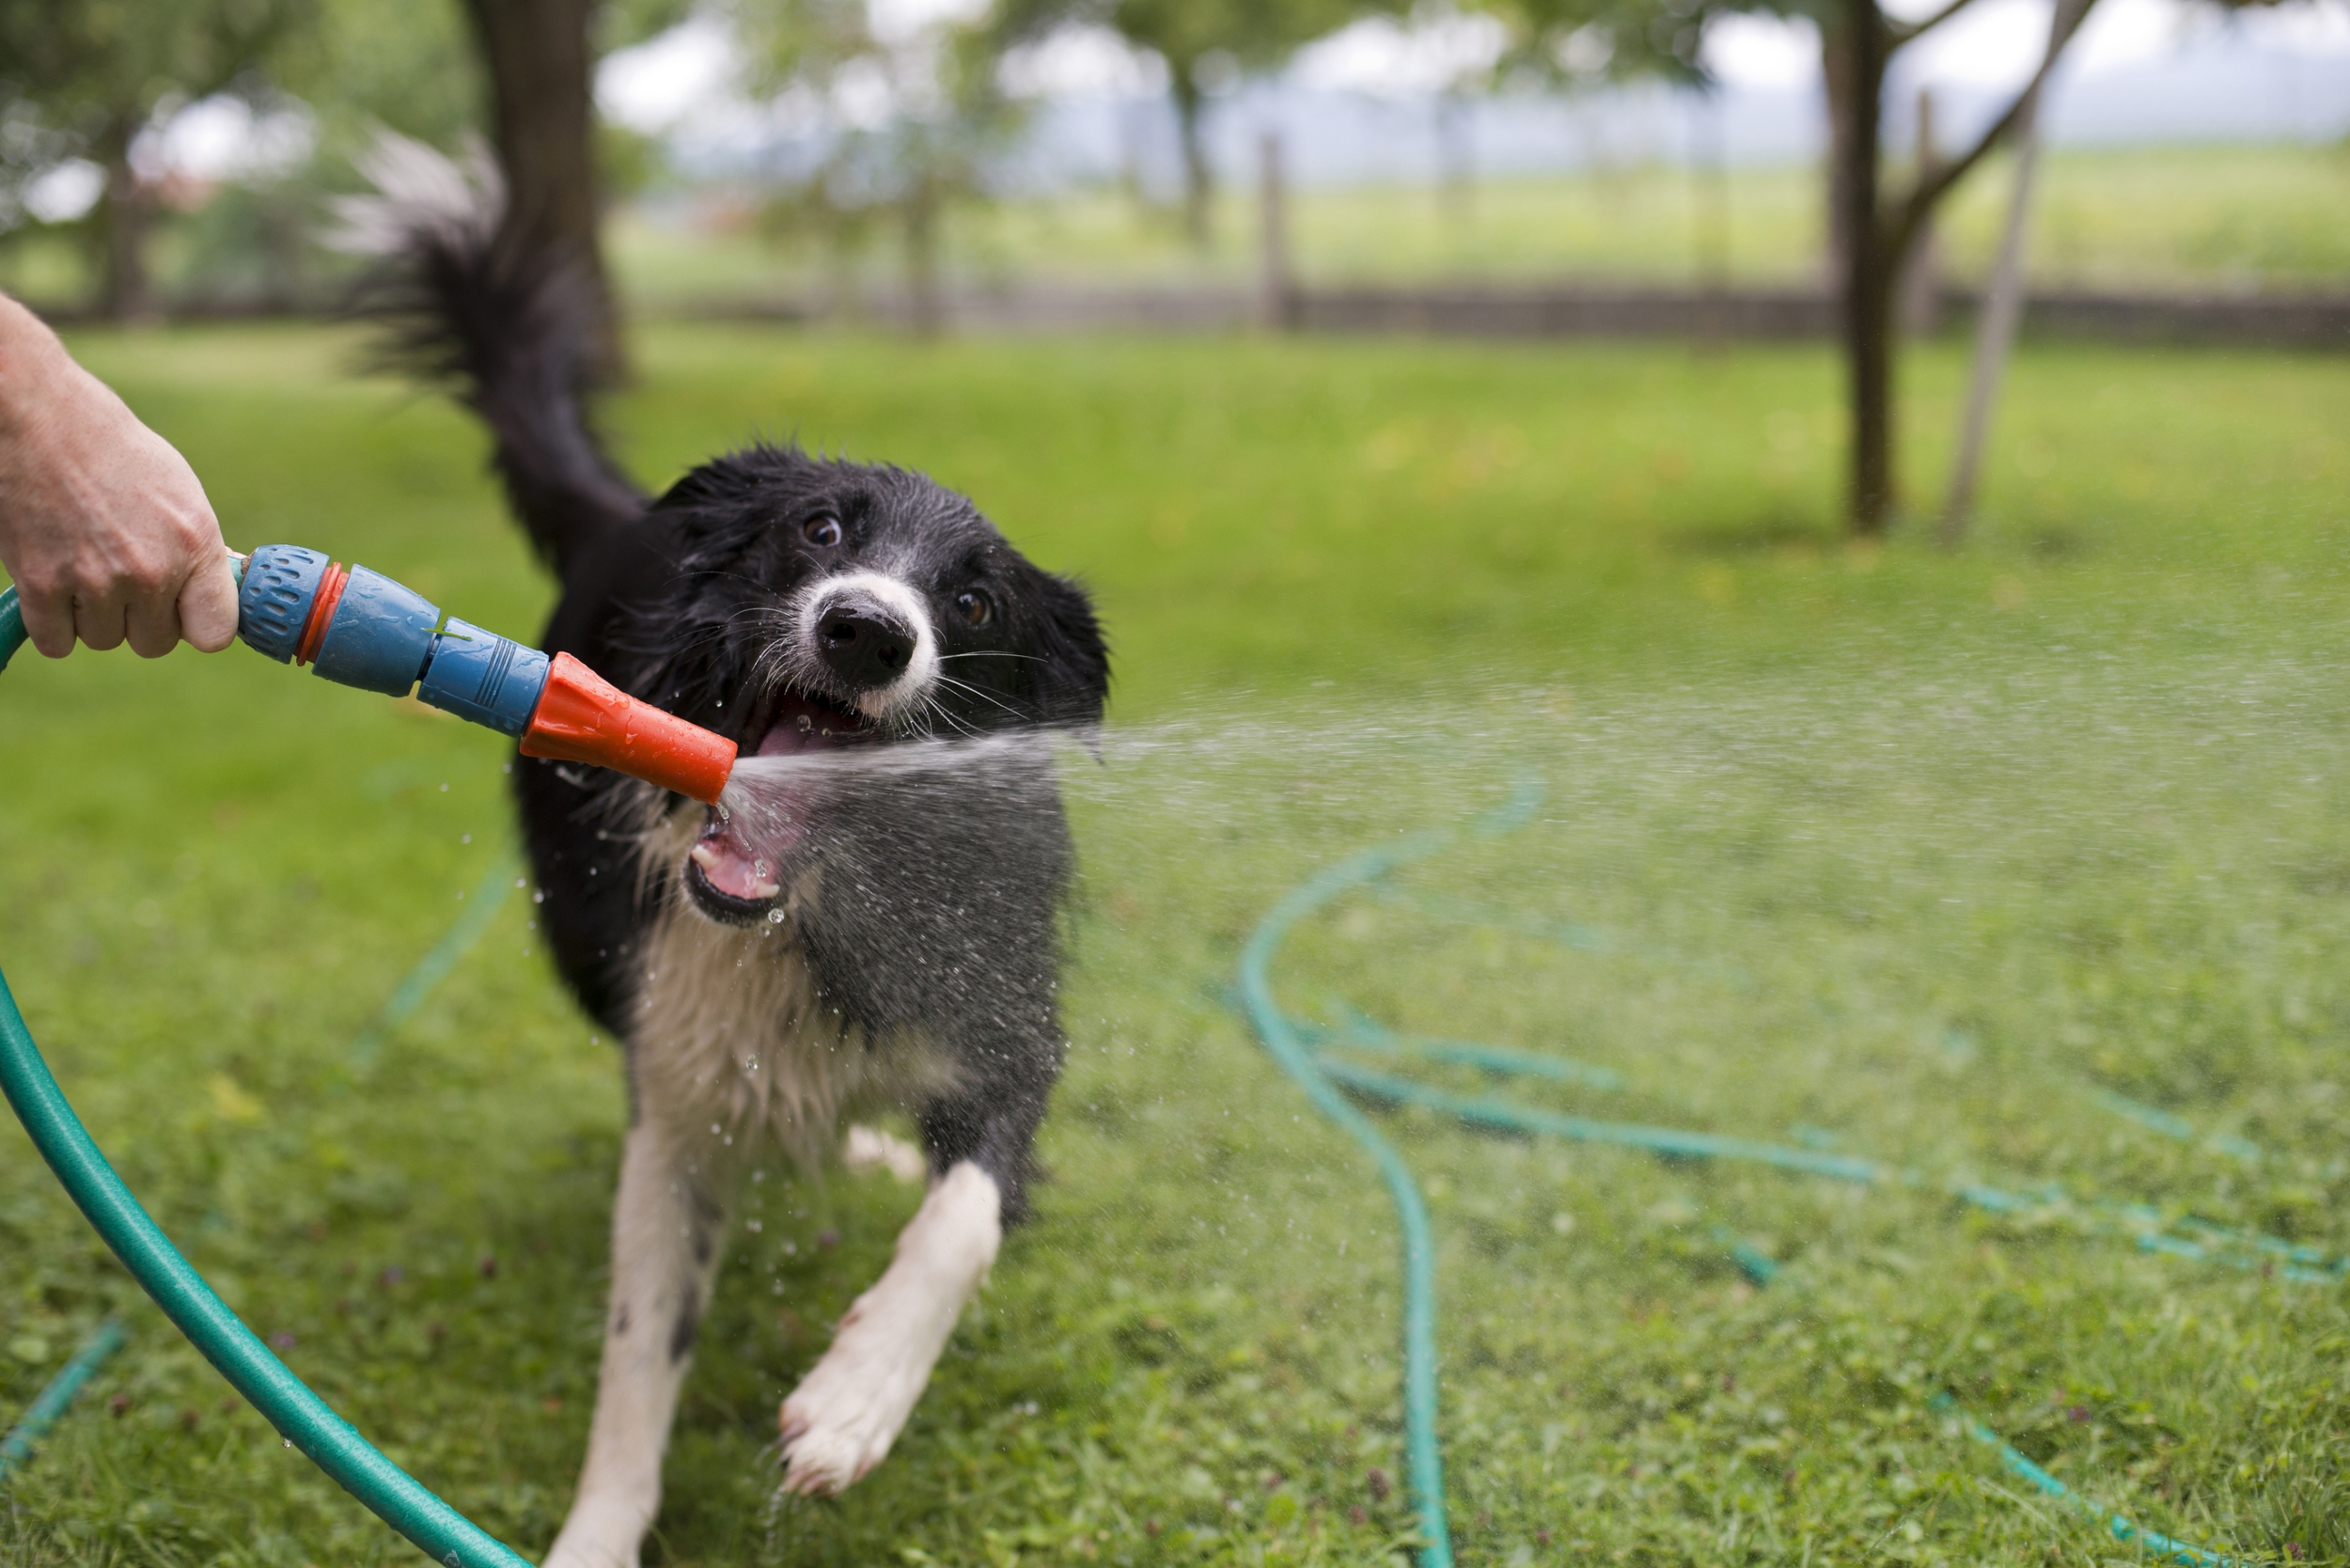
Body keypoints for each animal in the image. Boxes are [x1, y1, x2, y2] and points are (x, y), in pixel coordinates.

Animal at [343, 137, 1109, 1568]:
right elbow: (639, 1354)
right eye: (821, 531)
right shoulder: (677, 1087)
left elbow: (965, 1216)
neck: (808, 911)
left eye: (972, 601)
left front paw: (857, 1398)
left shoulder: (1005, 1021)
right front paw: (597, 1534)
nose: (871, 629)